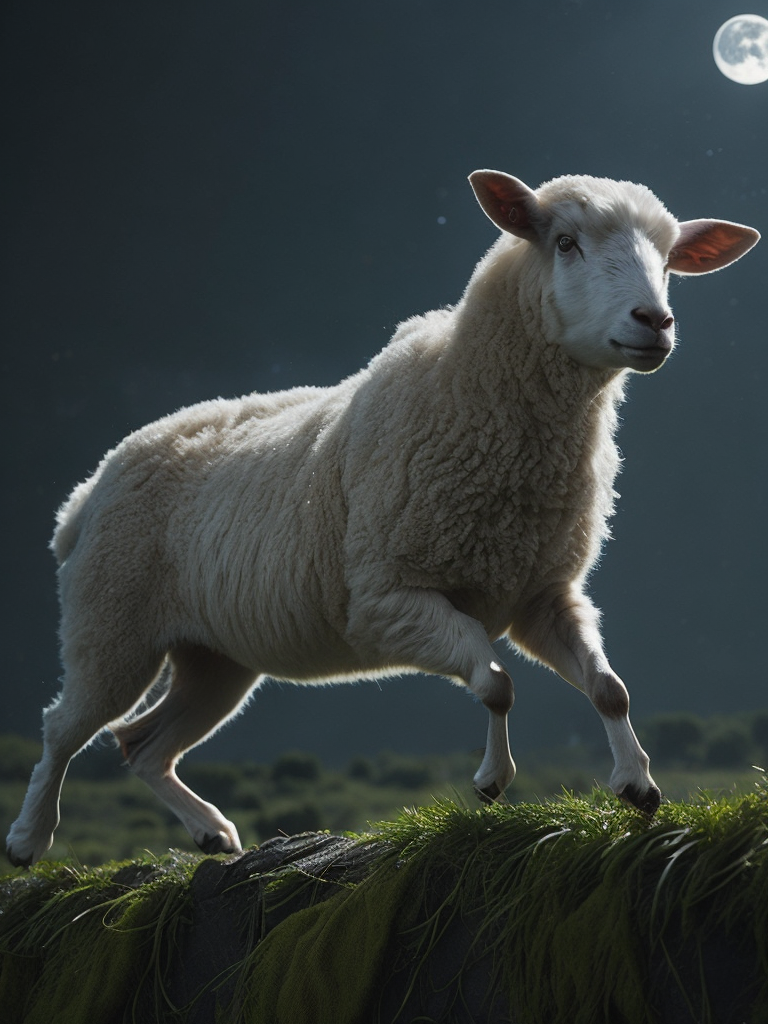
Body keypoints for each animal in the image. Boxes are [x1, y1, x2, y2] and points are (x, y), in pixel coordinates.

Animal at [6, 169, 759, 867]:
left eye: (668, 260)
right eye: (566, 243)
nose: (654, 321)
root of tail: (88, 489)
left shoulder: (541, 595)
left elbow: (610, 690)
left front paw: (637, 785)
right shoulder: (385, 598)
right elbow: (495, 682)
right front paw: (492, 780)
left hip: (213, 655)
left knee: (140, 745)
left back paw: (211, 832)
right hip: (111, 621)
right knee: (63, 727)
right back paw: (28, 838)